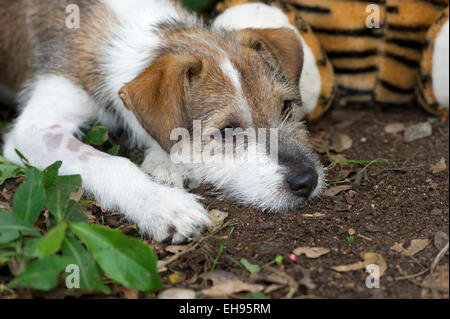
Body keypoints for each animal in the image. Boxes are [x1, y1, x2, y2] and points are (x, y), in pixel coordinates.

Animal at [0, 0, 324, 244]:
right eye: (226, 131)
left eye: (285, 106)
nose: (306, 181)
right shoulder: (35, 129)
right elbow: (110, 163)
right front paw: (165, 205)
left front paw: (166, 162)